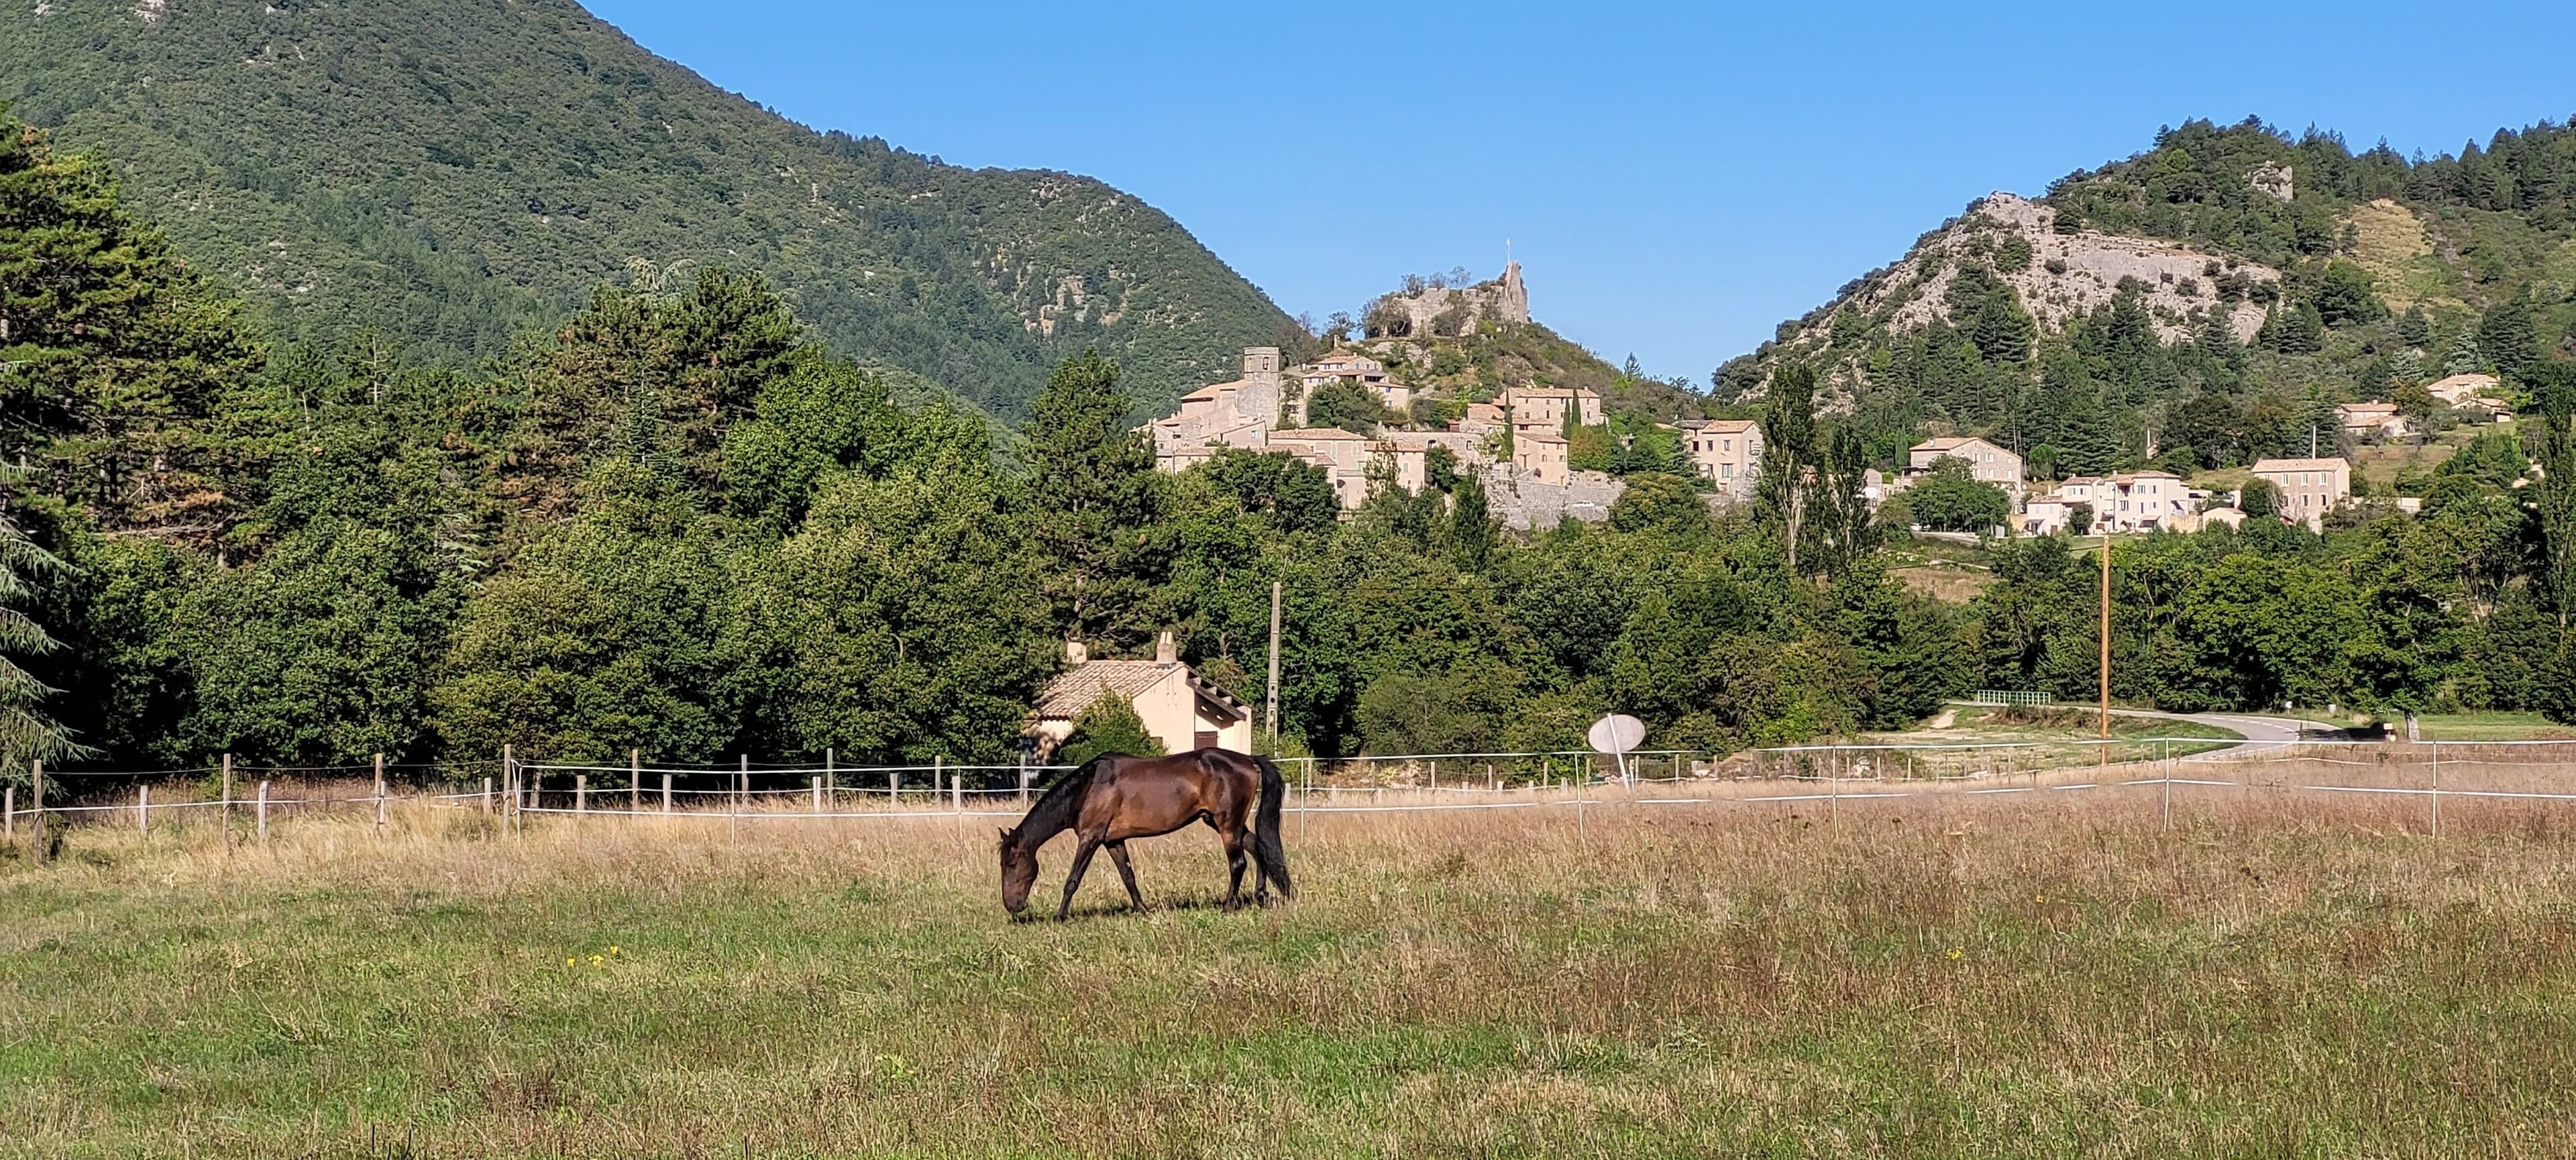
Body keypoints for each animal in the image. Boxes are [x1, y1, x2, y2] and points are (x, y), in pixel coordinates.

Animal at [998, 749, 1293, 919]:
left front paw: (1060, 916)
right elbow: (1128, 877)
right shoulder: (1113, 841)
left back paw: (1228, 906)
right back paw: (1262, 895)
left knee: (1238, 863)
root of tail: (1249, 760)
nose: (1013, 906)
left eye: (1012, 864)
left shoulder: (1091, 837)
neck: (1089, 787)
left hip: (1227, 825)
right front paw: (1143, 910)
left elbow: (1073, 879)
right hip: (1221, 822)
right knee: (1259, 848)